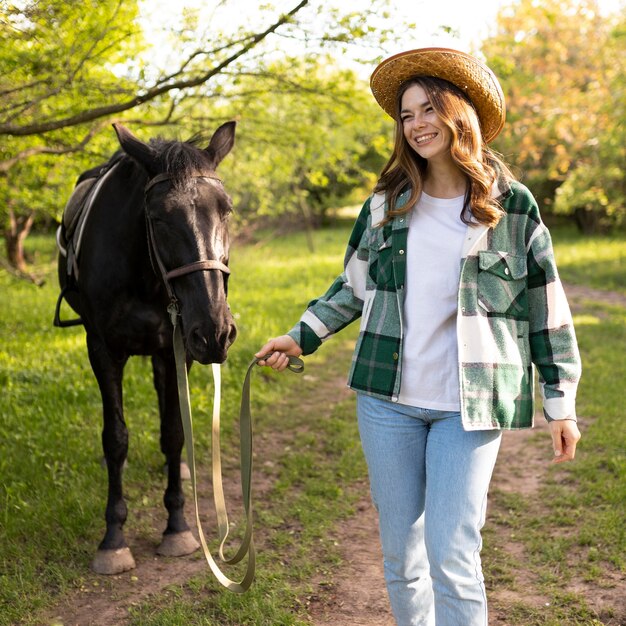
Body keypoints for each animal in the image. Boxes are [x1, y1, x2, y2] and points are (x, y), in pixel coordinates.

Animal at [56, 120, 236, 572]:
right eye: (157, 217)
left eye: (226, 210)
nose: (216, 332)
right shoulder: (102, 350)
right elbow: (115, 437)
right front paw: (113, 538)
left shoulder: (177, 348)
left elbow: (174, 431)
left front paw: (177, 525)